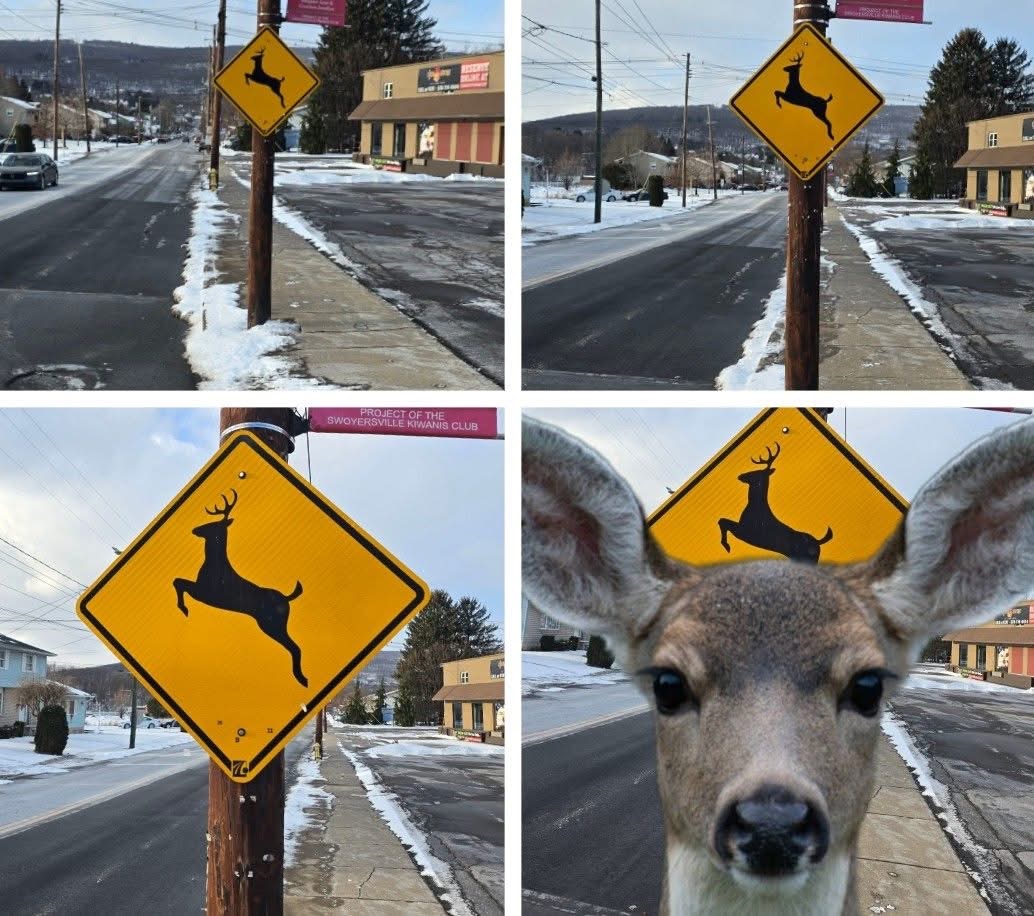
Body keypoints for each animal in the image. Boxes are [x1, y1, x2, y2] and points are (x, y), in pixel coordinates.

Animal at [173, 490, 308, 688]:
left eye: (212, 524)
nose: (194, 530)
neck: (214, 563)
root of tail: (287, 598)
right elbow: (178, 581)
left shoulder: (205, 592)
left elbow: (178, 582)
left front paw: (184, 609)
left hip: (272, 623)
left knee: (295, 647)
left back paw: (302, 679)